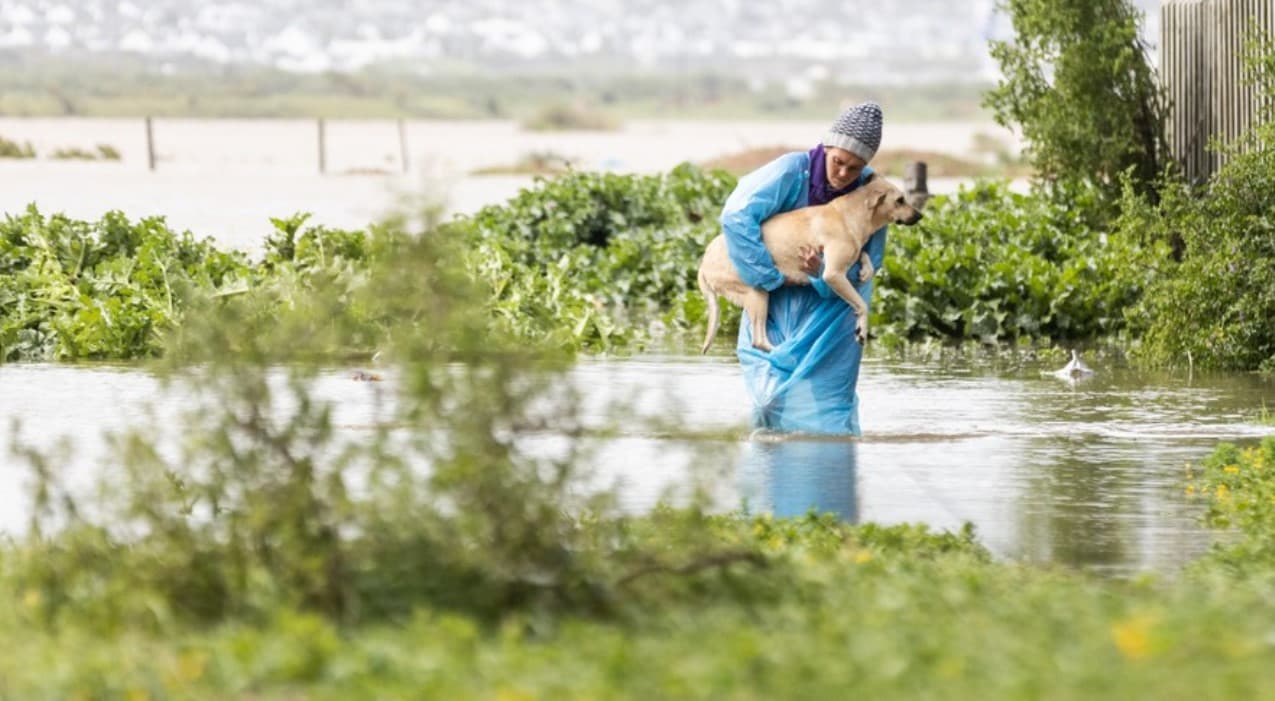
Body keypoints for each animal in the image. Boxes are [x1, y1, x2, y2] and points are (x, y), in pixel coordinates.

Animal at [703, 173, 923, 354]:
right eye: (900, 200)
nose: (920, 215)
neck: (854, 213)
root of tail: (703, 262)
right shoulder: (833, 274)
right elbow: (861, 304)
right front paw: (862, 329)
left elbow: (862, 253)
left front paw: (866, 268)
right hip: (756, 293)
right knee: (758, 341)